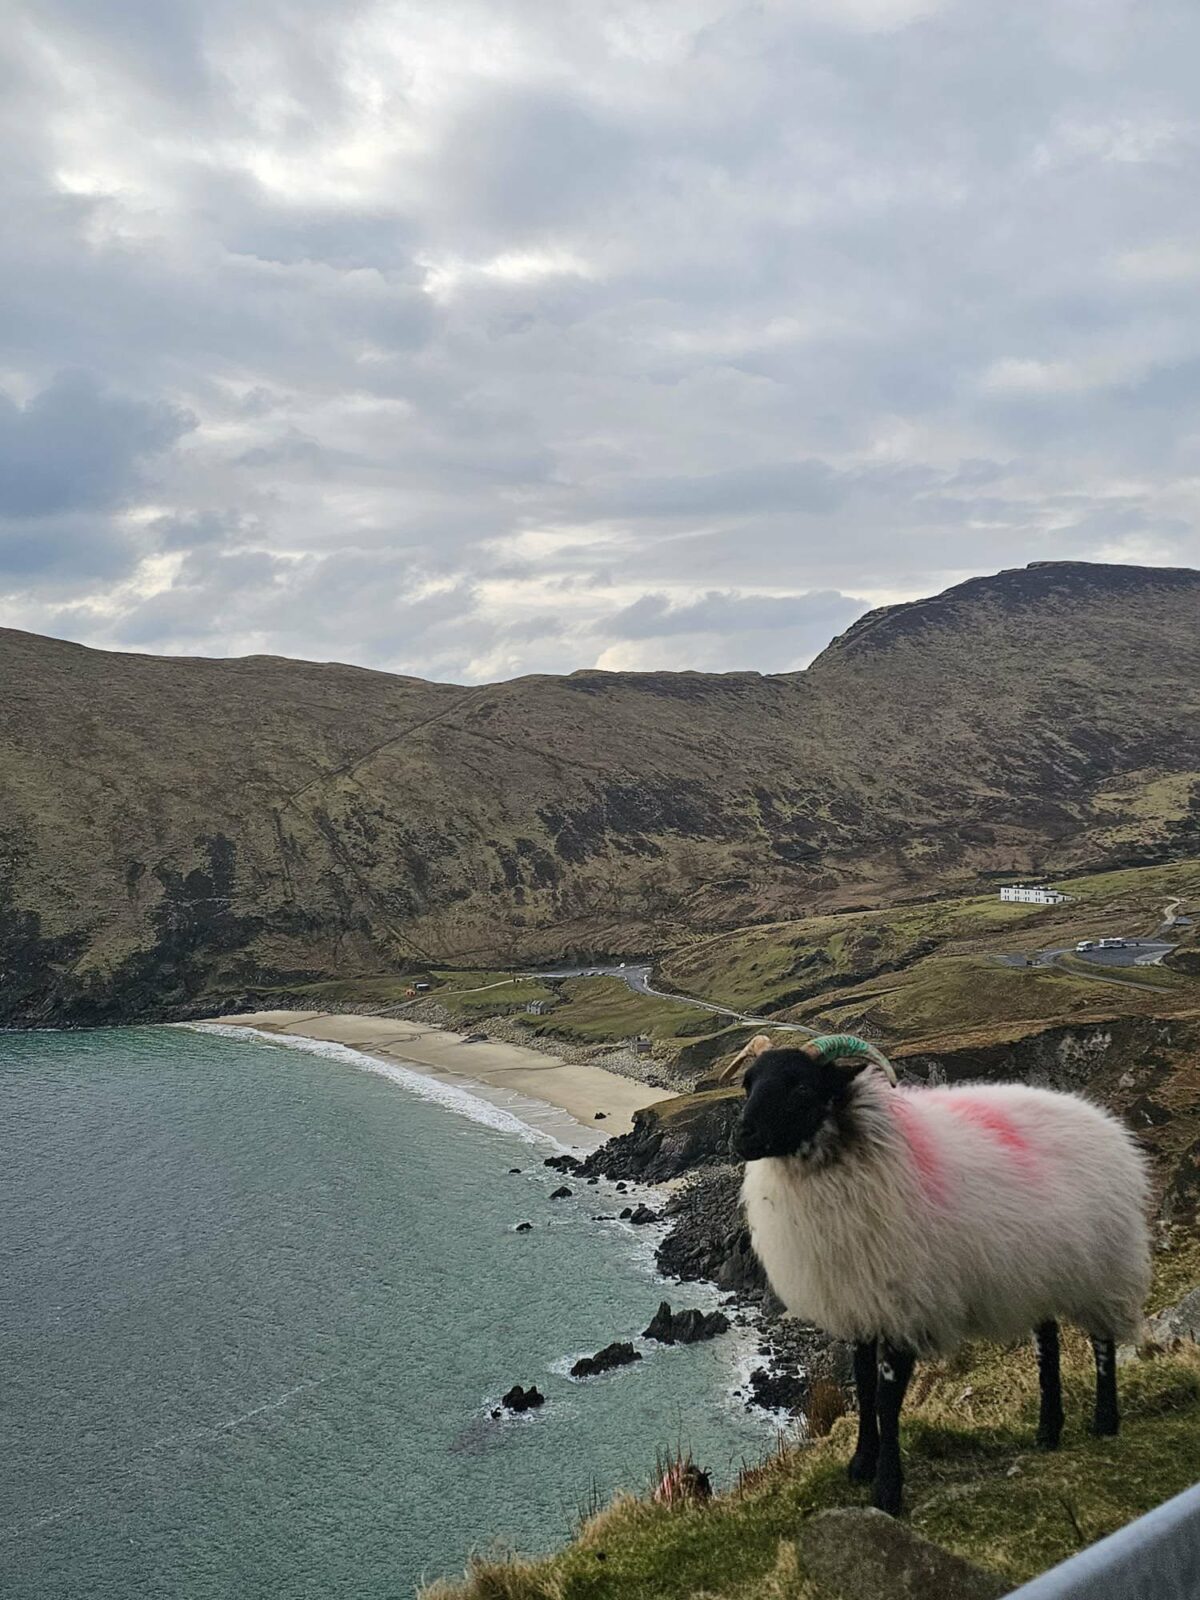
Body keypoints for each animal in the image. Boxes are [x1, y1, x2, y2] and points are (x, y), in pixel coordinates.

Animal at [728, 1033, 1152, 1515]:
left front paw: (887, 1490)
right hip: (1037, 1273)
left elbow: (887, 1401)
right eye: (748, 1084)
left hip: (1104, 1265)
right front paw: (861, 1465)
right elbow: (864, 1387)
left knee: (1102, 1341)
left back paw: (1105, 1422)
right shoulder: (861, 1301)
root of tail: (1108, 1124)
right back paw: (1048, 1431)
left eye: (800, 1087)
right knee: (1049, 1345)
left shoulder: (907, 1305)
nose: (742, 1136)